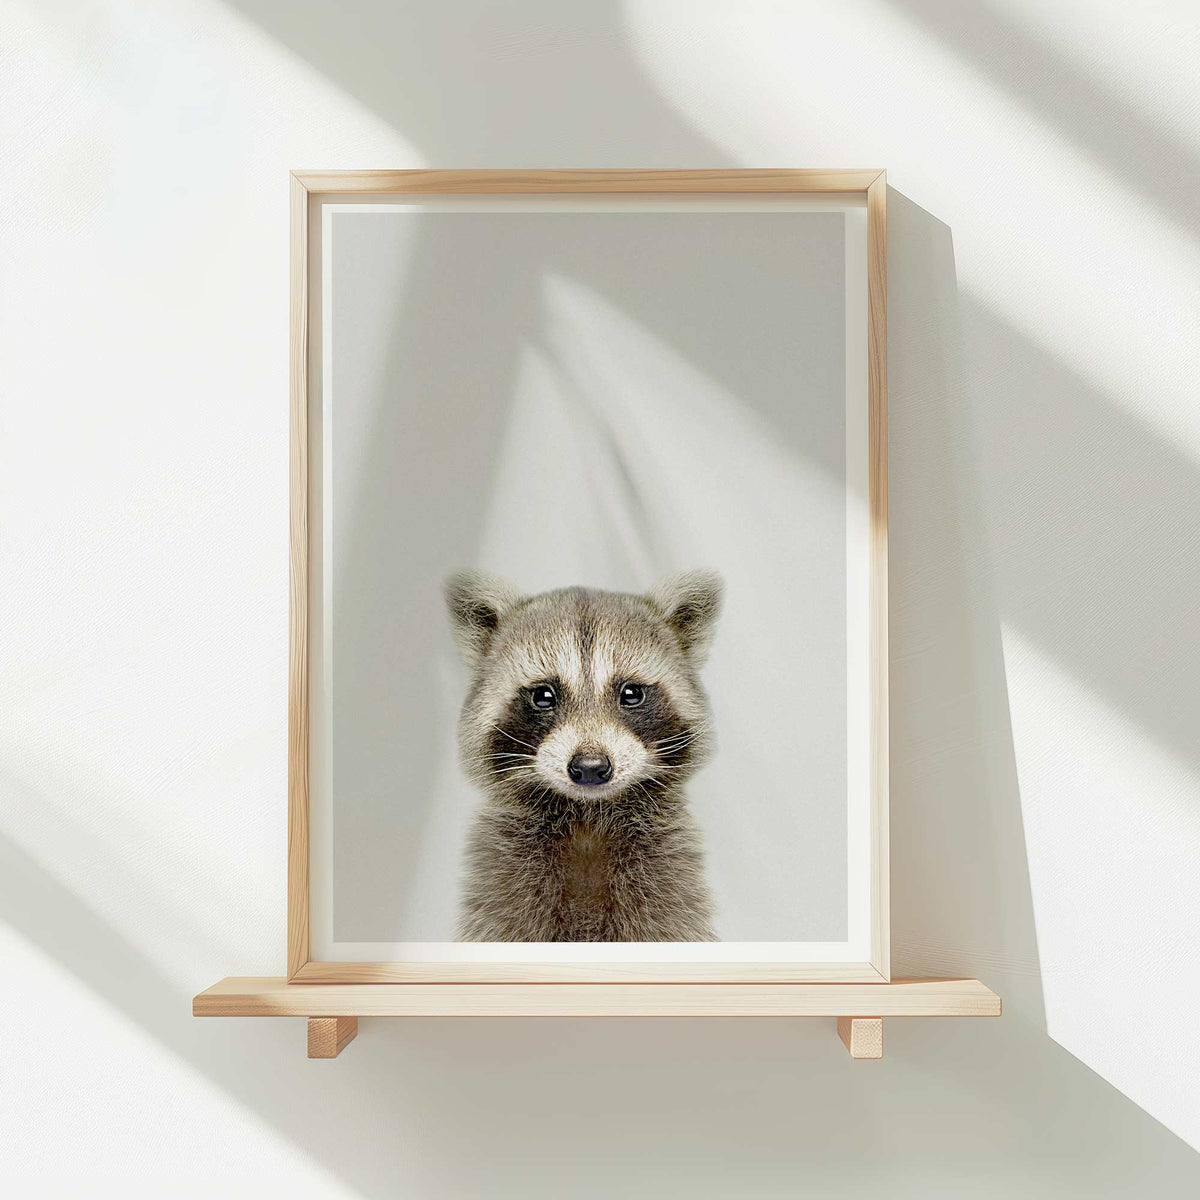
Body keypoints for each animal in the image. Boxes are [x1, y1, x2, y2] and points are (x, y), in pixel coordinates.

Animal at [445, 569, 722, 942]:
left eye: (631, 693)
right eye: (543, 695)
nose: (590, 767)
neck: (587, 819)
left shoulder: (666, 877)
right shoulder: (503, 882)